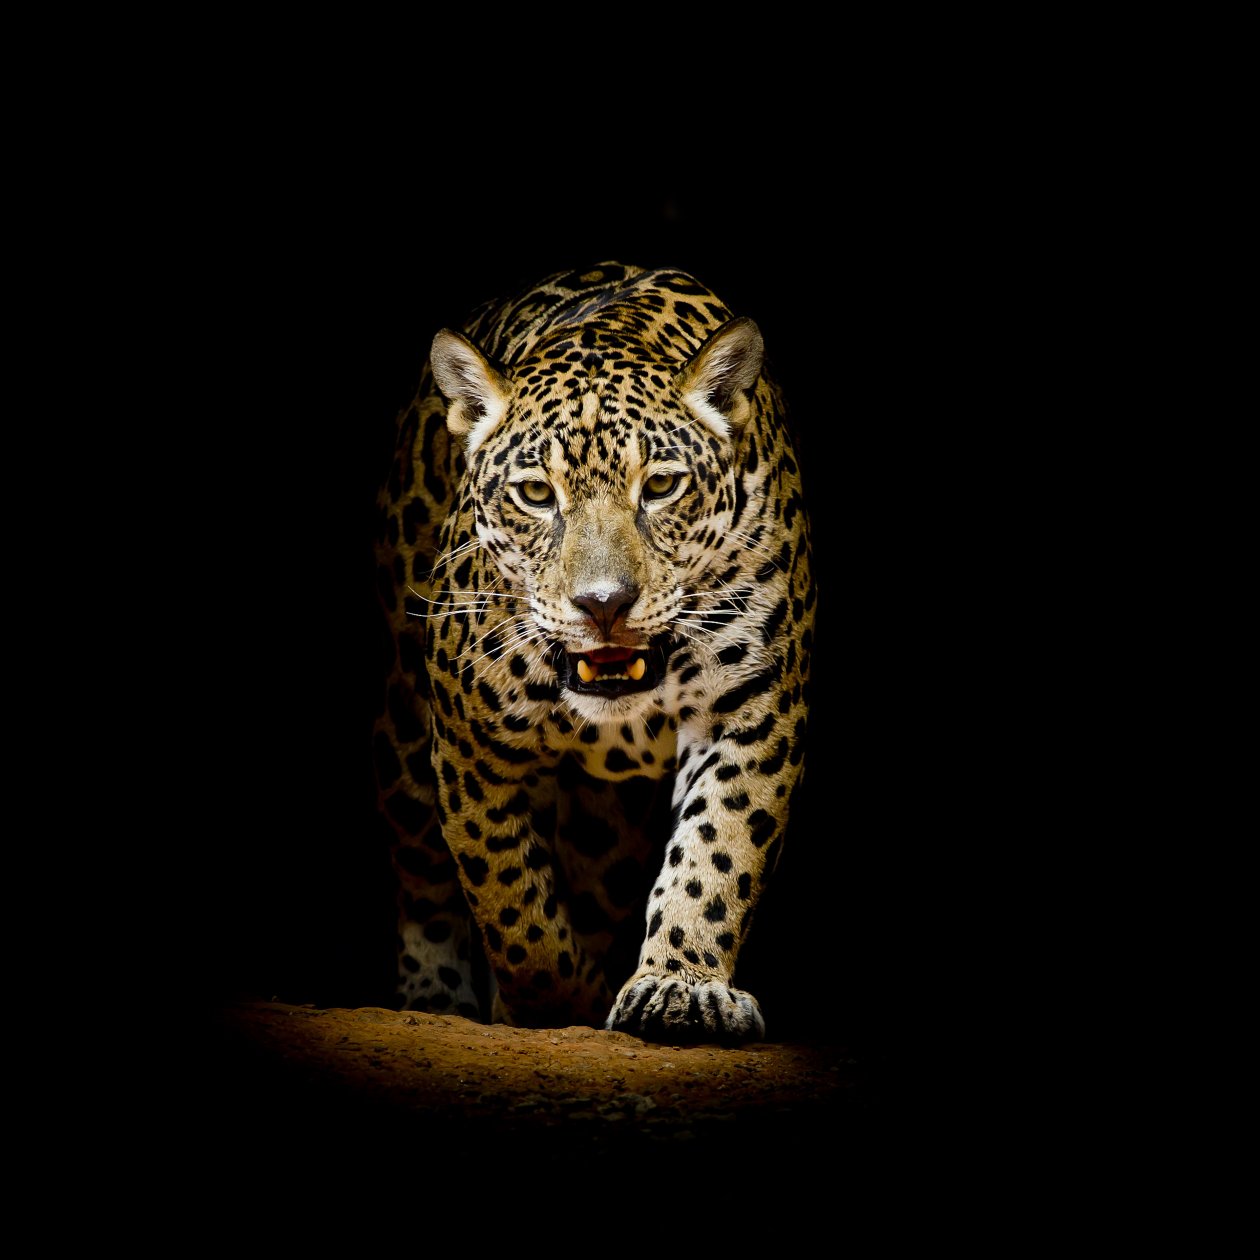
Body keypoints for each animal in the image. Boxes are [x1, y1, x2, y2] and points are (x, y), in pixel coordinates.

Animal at [372, 261, 814, 1043]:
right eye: (535, 494)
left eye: (661, 486)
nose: (604, 603)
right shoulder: (468, 743)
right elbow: (510, 900)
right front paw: (555, 1003)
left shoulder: (753, 709)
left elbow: (718, 849)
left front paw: (679, 987)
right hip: (402, 734)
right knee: (423, 874)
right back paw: (433, 996)